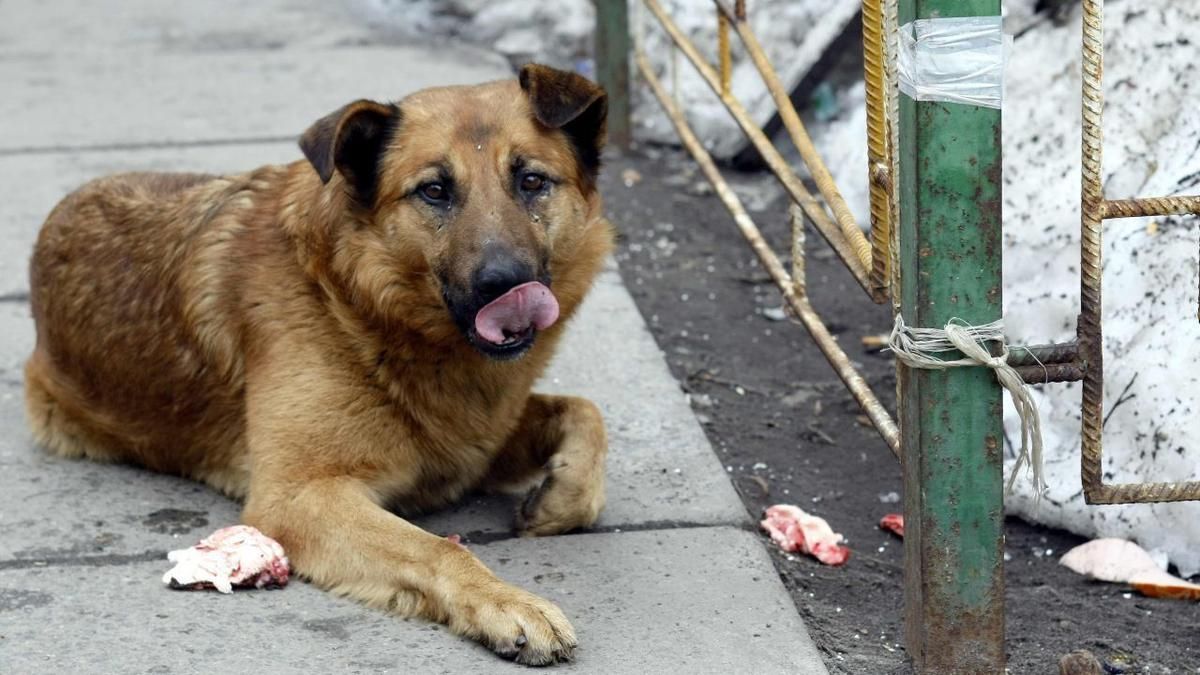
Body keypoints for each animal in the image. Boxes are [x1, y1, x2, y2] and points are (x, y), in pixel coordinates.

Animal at [24, 63, 614, 662]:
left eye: (532, 181)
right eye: (434, 190)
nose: (505, 283)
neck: (356, 302)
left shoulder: (477, 443)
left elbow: (586, 412)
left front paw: (561, 498)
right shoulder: (301, 496)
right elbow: (437, 550)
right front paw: (507, 604)